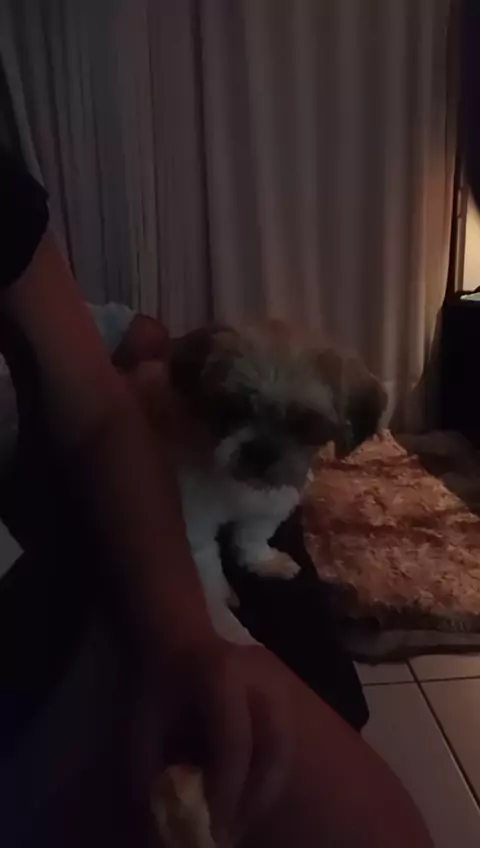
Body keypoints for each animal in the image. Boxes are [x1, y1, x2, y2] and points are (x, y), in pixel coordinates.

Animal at [167, 321, 387, 645]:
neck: (241, 486)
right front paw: (220, 600)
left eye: (304, 424)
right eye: (230, 410)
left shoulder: (272, 504)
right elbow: (205, 561)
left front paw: (264, 561)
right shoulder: (193, 514)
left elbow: (252, 537)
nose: (260, 450)